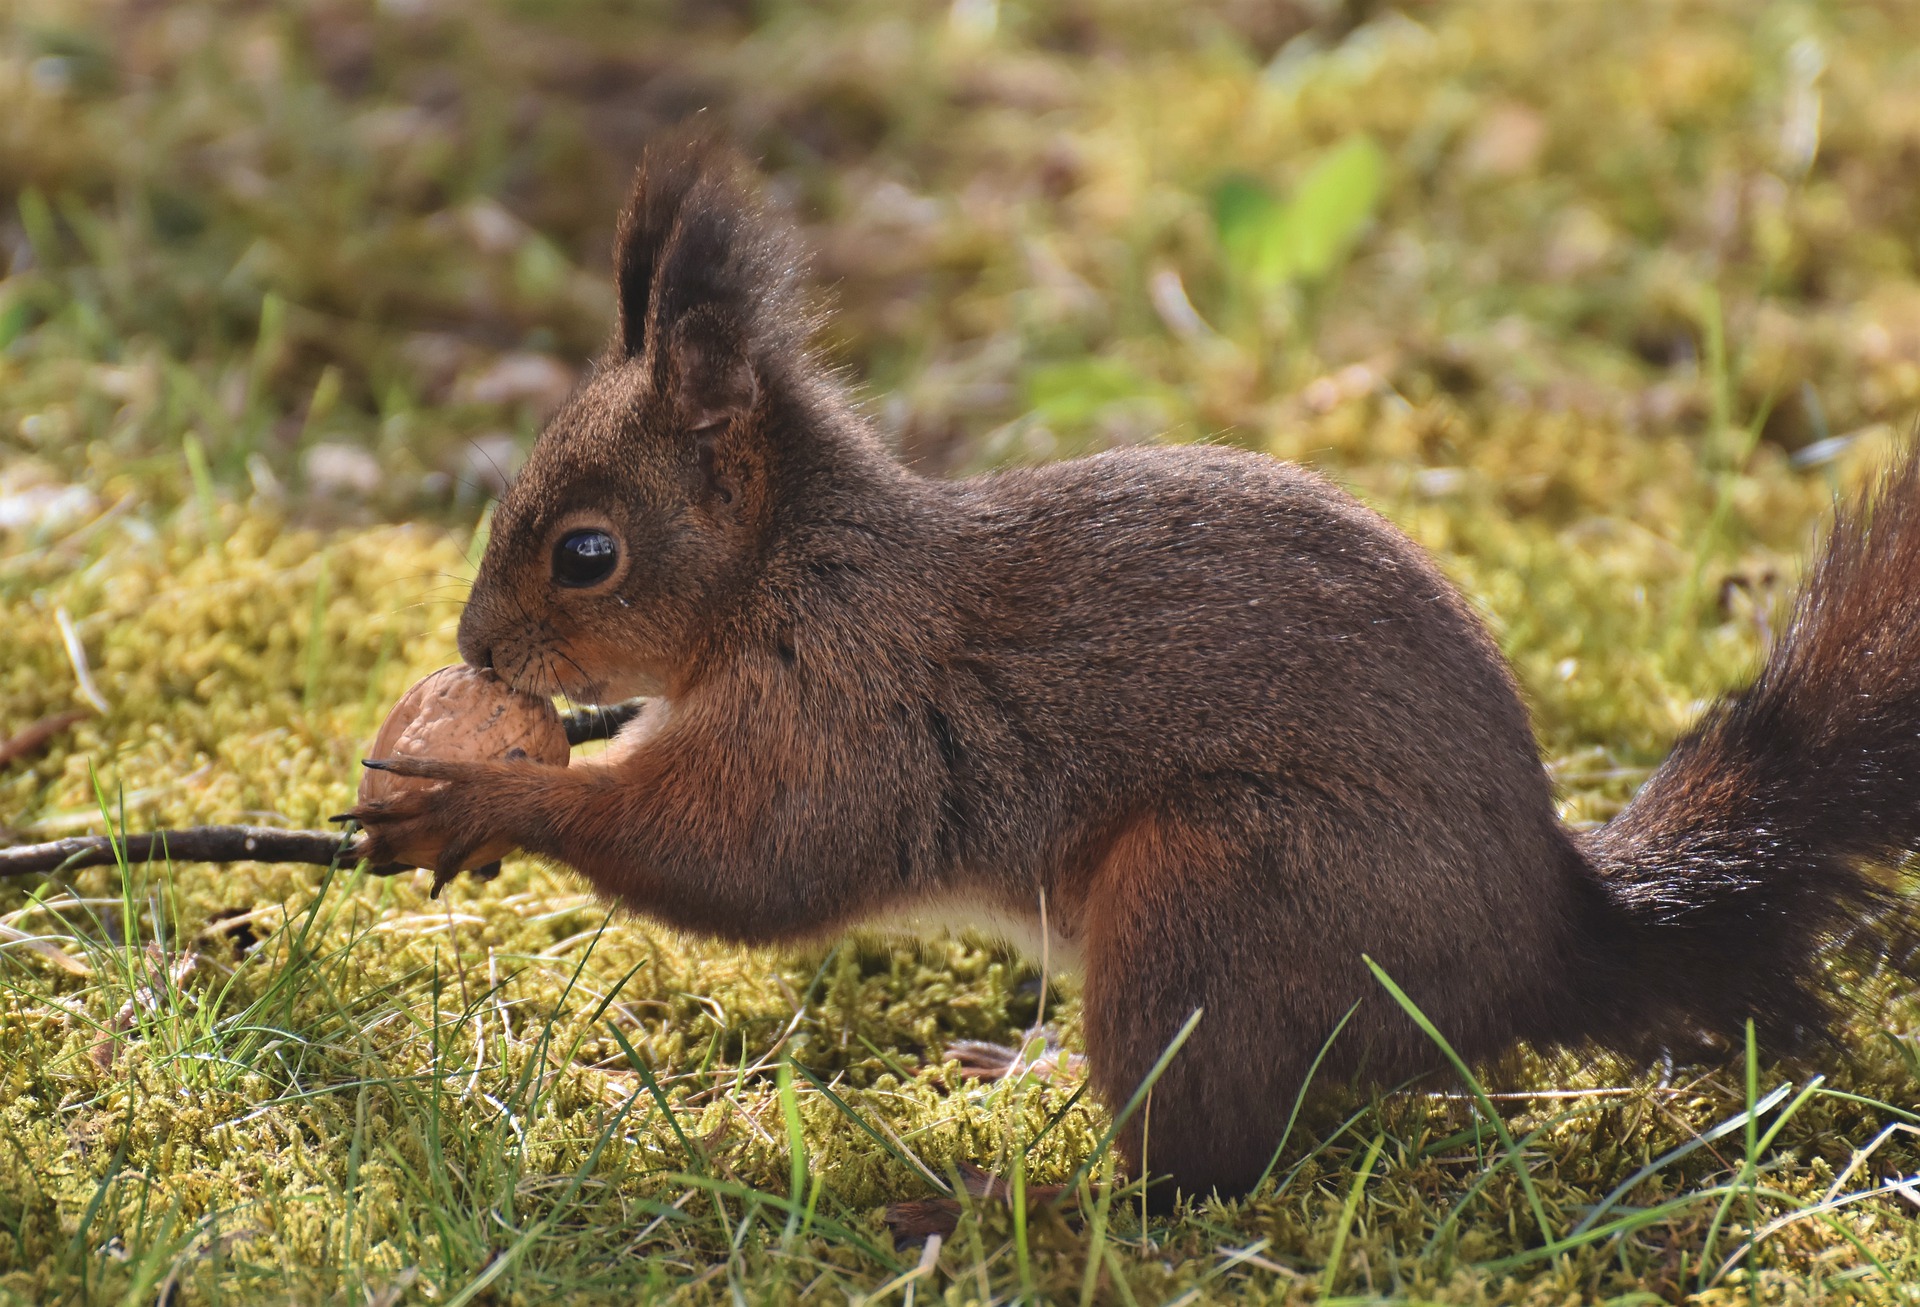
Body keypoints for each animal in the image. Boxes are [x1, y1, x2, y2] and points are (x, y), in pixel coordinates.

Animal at [353, 137, 1920, 1205]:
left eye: (588, 552)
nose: (475, 649)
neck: (790, 572)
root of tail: (1549, 939)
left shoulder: (849, 704)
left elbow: (754, 857)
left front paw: (475, 794)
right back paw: (1038, 1080)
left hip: (1226, 892)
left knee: (1197, 1163)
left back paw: (1013, 1194)